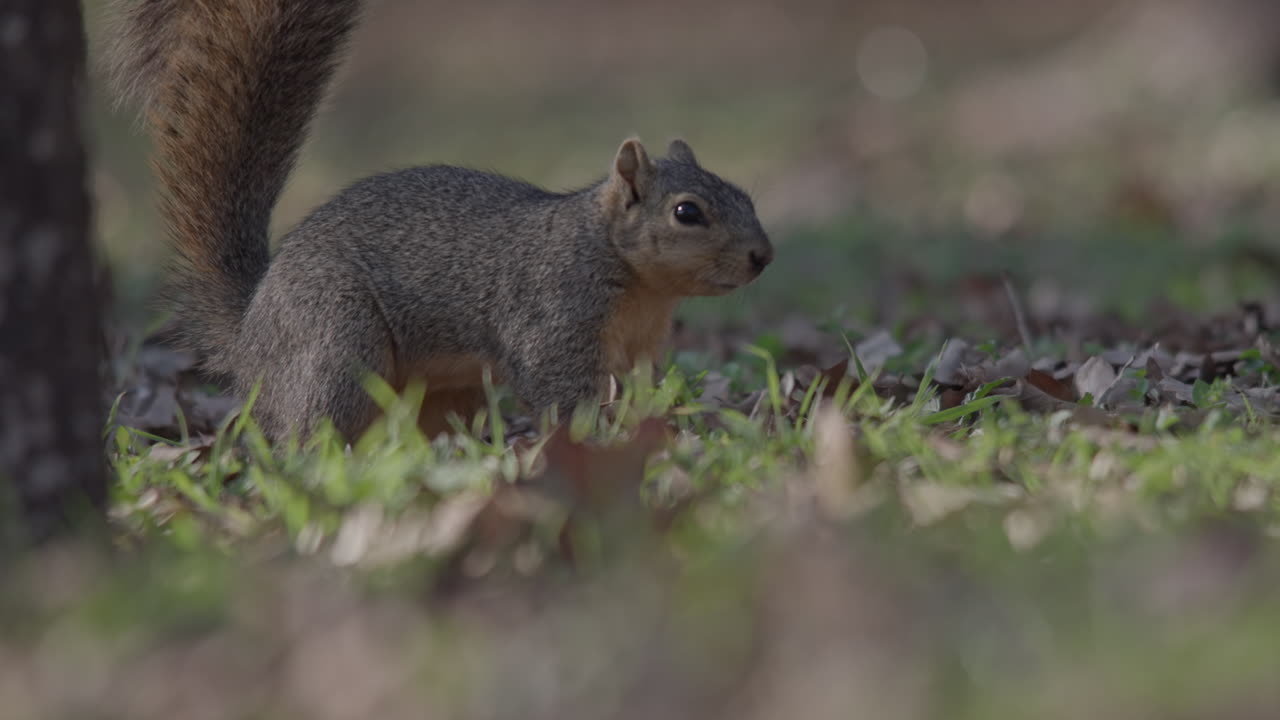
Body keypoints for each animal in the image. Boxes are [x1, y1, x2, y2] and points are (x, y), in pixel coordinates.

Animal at [111, 0, 773, 441]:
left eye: (747, 196)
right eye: (687, 212)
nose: (762, 256)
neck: (625, 270)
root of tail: (250, 333)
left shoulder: (638, 349)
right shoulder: (551, 318)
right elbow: (559, 391)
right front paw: (597, 438)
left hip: (444, 387)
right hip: (335, 341)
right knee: (311, 431)